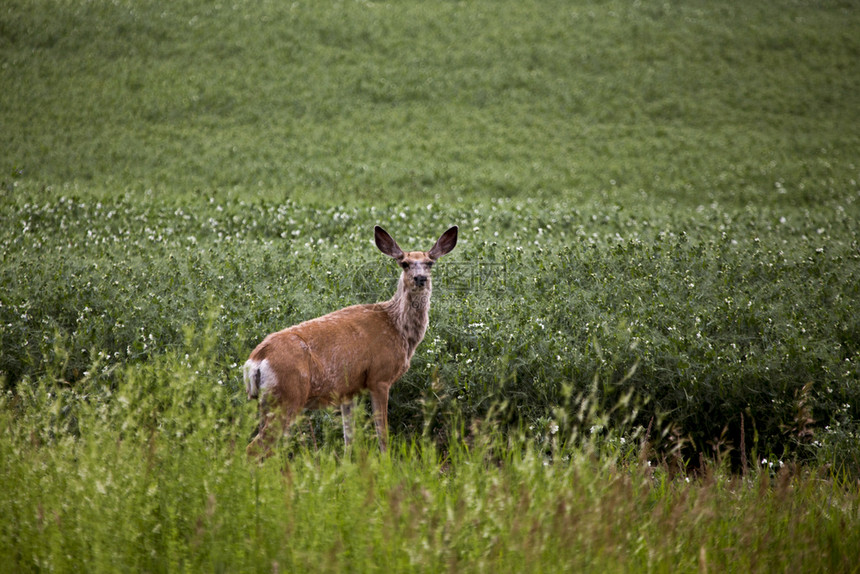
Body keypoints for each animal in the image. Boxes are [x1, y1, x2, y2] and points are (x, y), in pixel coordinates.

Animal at [242, 225, 456, 460]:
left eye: (429, 263)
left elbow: (349, 439)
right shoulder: (379, 377)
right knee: (253, 448)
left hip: (267, 401)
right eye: (405, 263)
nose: (420, 278)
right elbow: (382, 432)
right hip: (288, 394)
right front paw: (386, 461)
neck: (398, 327)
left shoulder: (348, 390)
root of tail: (256, 360)